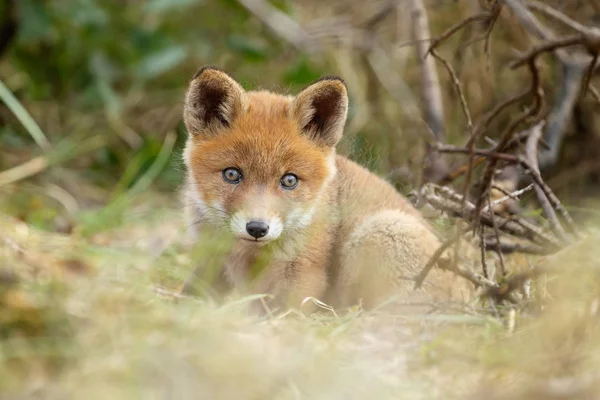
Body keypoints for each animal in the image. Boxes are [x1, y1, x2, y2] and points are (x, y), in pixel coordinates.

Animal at [178, 67, 468, 314]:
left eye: (289, 180)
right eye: (232, 174)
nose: (257, 228)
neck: (245, 253)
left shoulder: (305, 273)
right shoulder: (212, 258)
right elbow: (192, 291)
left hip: (379, 231)